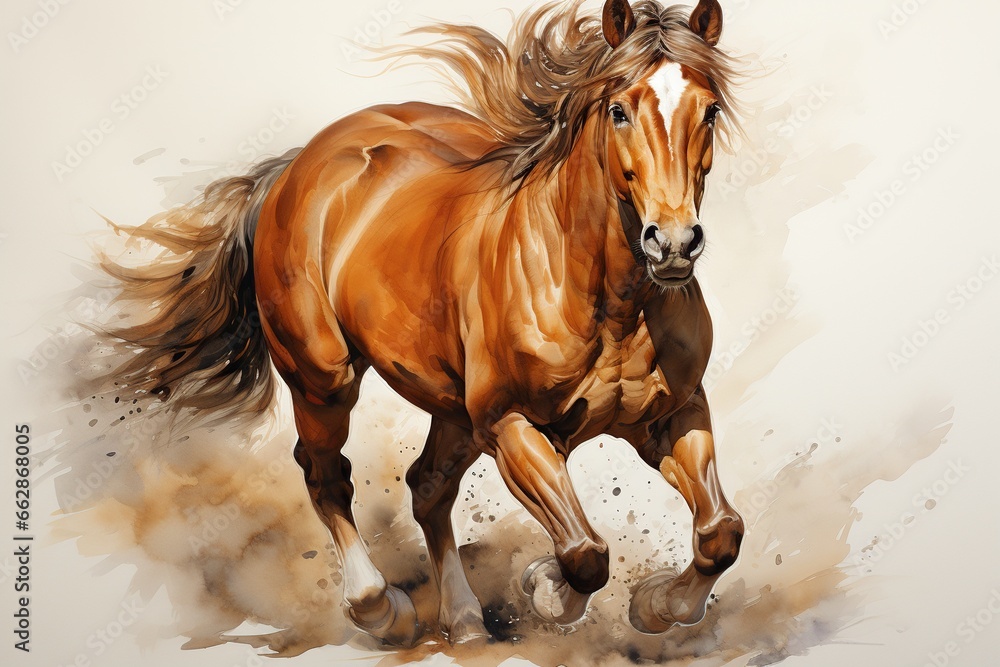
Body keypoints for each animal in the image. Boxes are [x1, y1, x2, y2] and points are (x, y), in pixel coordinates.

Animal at [99, 0, 745, 647]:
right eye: (618, 111)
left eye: (709, 109)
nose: (673, 243)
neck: (606, 300)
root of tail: (296, 167)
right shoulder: (511, 425)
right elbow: (584, 554)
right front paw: (543, 587)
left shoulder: (672, 415)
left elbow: (721, 535)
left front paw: (656, 606)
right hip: (324, 380)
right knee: (327, 474)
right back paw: (381, 609)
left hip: (450, 409)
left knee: (427, 486)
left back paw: (464, 621)